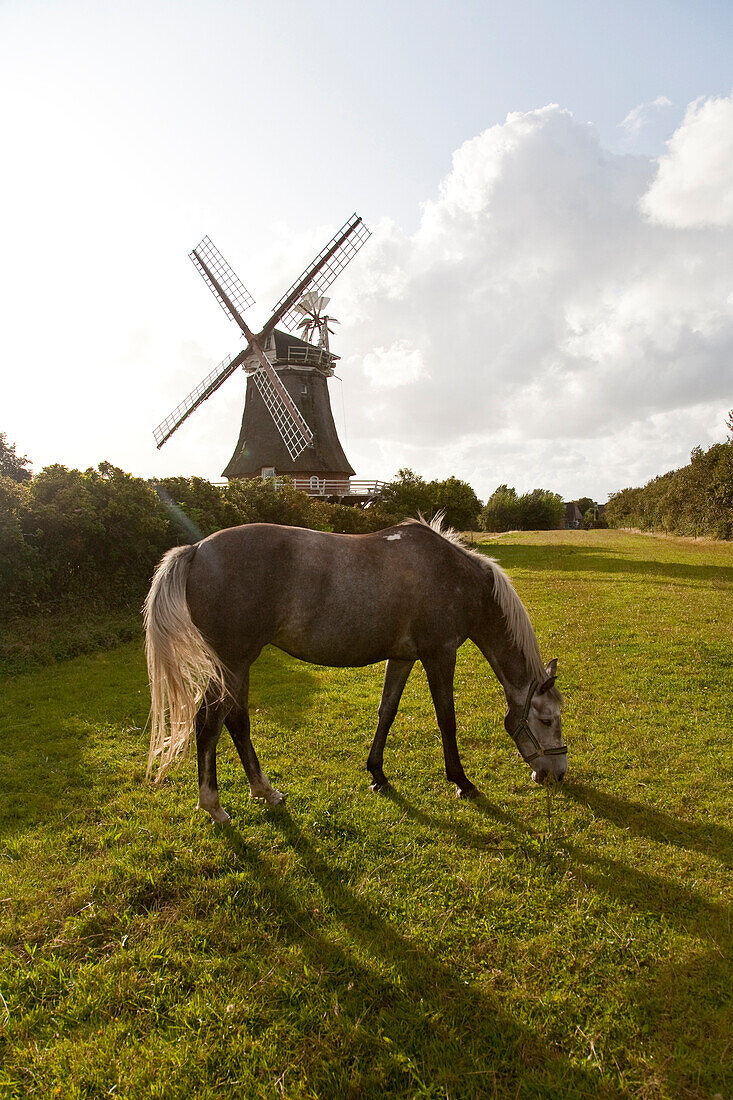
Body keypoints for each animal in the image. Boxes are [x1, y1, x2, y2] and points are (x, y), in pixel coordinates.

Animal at [143, 512, 563, 818]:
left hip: (239, 666)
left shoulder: (403, 657)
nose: (556, 774)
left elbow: (387, 711)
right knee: (209, 723)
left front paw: (378, 774)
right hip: (232, 662)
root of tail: (196, 549)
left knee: (237, 721)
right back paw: (213, 807)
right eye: (546, 720)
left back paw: (265, 791)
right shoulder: (439, 655)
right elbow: (446, 719)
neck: (453, 574)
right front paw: (462, 782)